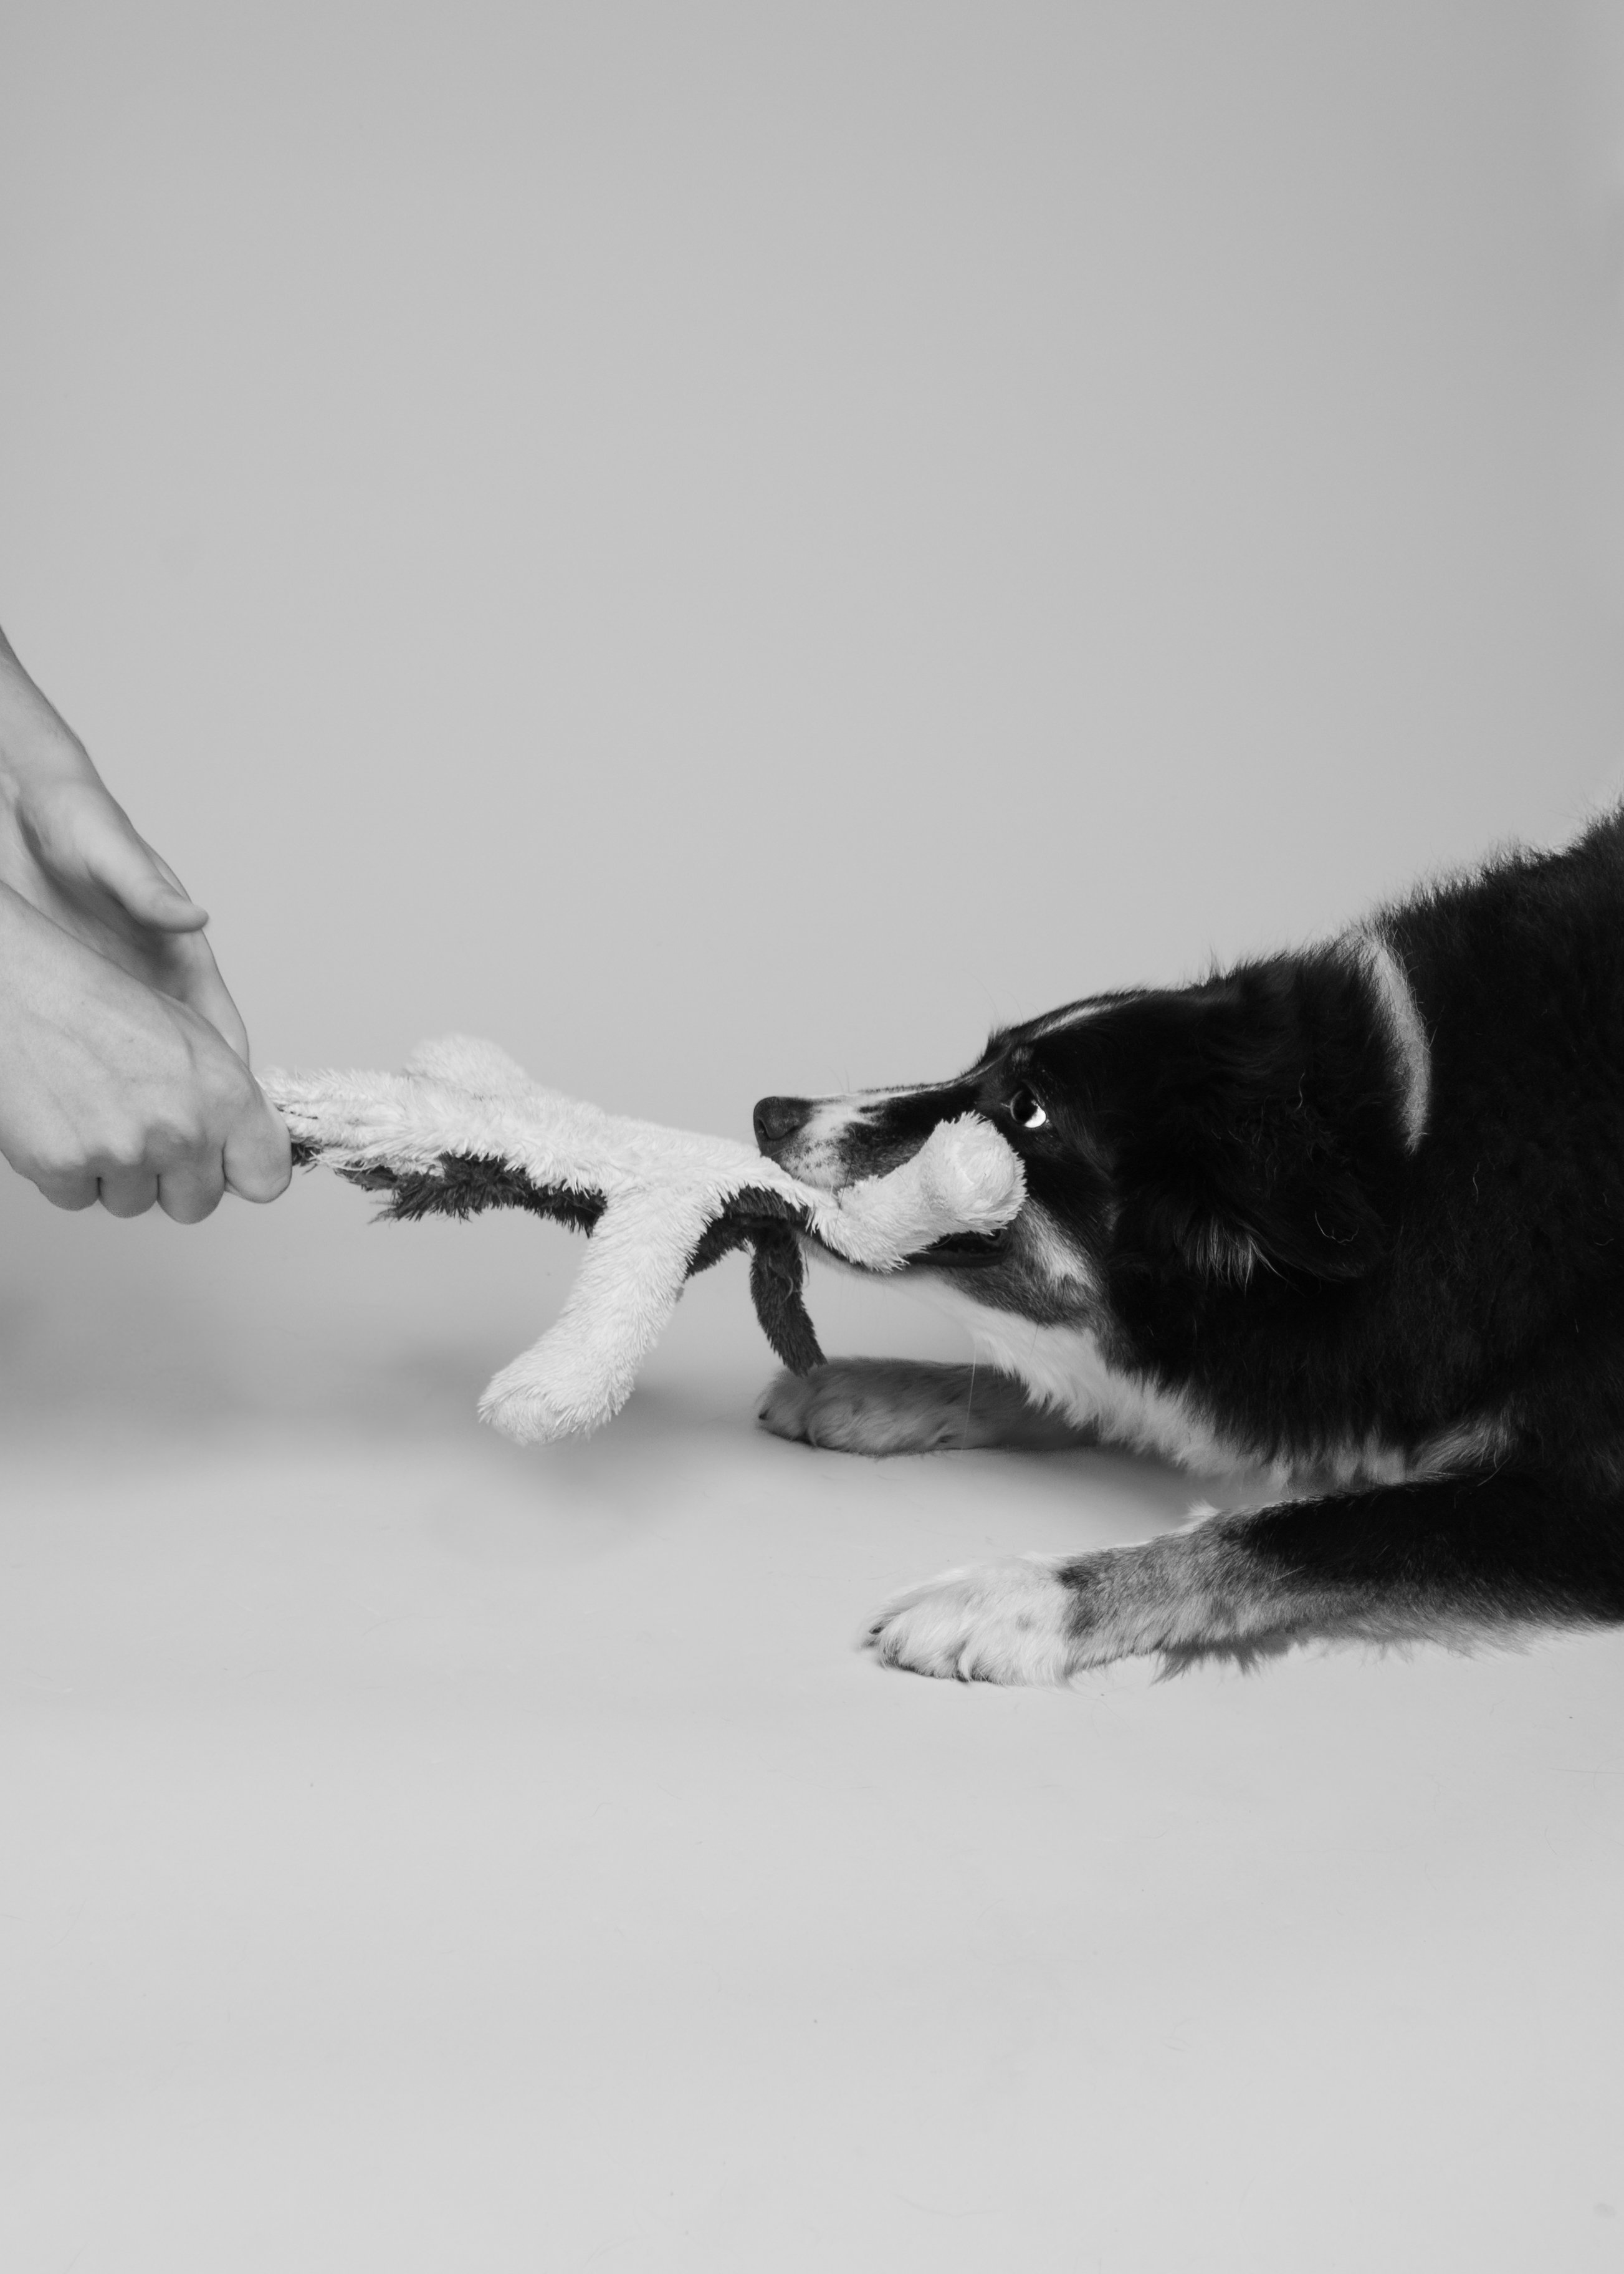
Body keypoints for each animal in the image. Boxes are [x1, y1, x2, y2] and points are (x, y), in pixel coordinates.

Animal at [750, 809, 1619, 1682]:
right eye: (983, 1064)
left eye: (1028, 1108)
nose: (769, 1115)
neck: (1404, 1164)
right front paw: (864, 1387)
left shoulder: (1579, 1507)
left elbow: (1290, 1530)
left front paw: (1021, 1599)